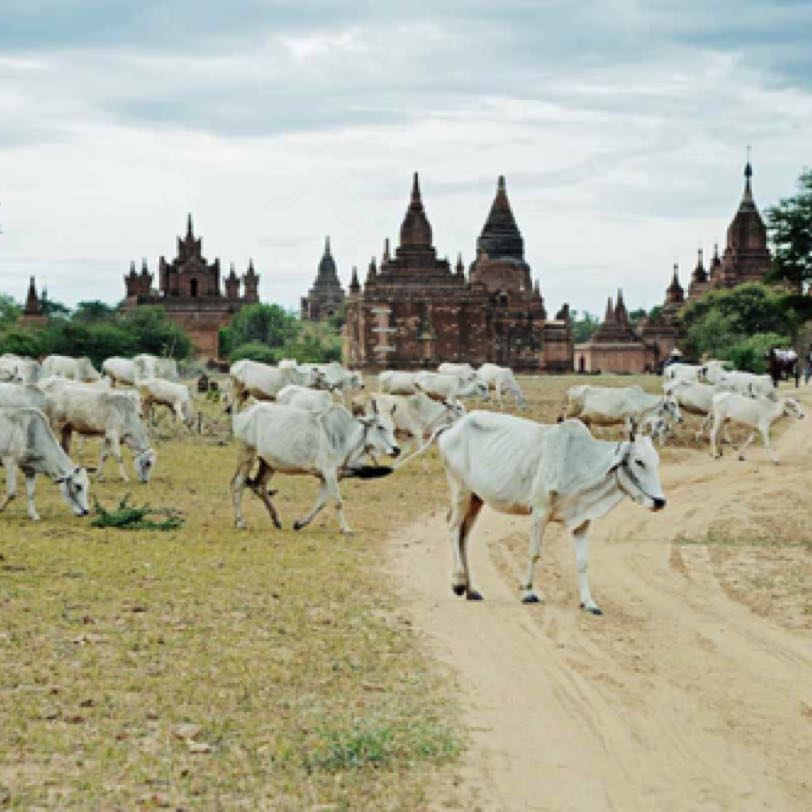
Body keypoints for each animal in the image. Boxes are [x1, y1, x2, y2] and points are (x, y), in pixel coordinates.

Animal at [232, 402, 400, 532]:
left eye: (393, 428)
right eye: (380, 427)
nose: (396, 449)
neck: (345, 437)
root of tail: (244, 413)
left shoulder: (331, 476)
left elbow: (321, 503)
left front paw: (299, 524)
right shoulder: (329, 472)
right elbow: (338, 501)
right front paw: (346, 529)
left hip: (268, 464)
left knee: (259, 486)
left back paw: (276, 520)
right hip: (247, 455)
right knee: (237, 484)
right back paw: (240, 522)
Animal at [438, 412, 668, 616]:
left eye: (657, 461)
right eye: (638, 461)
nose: (660, 502)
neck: (578, 463)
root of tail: (453, 426)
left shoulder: (582, 522)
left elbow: (583, 563)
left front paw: (589, 603)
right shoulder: (539, 512)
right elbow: (534, 553)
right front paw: (529, 592)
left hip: (476, 498)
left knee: (463, 536)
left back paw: (470, 589)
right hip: (461, 490)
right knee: (452, 527)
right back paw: (458, 583)